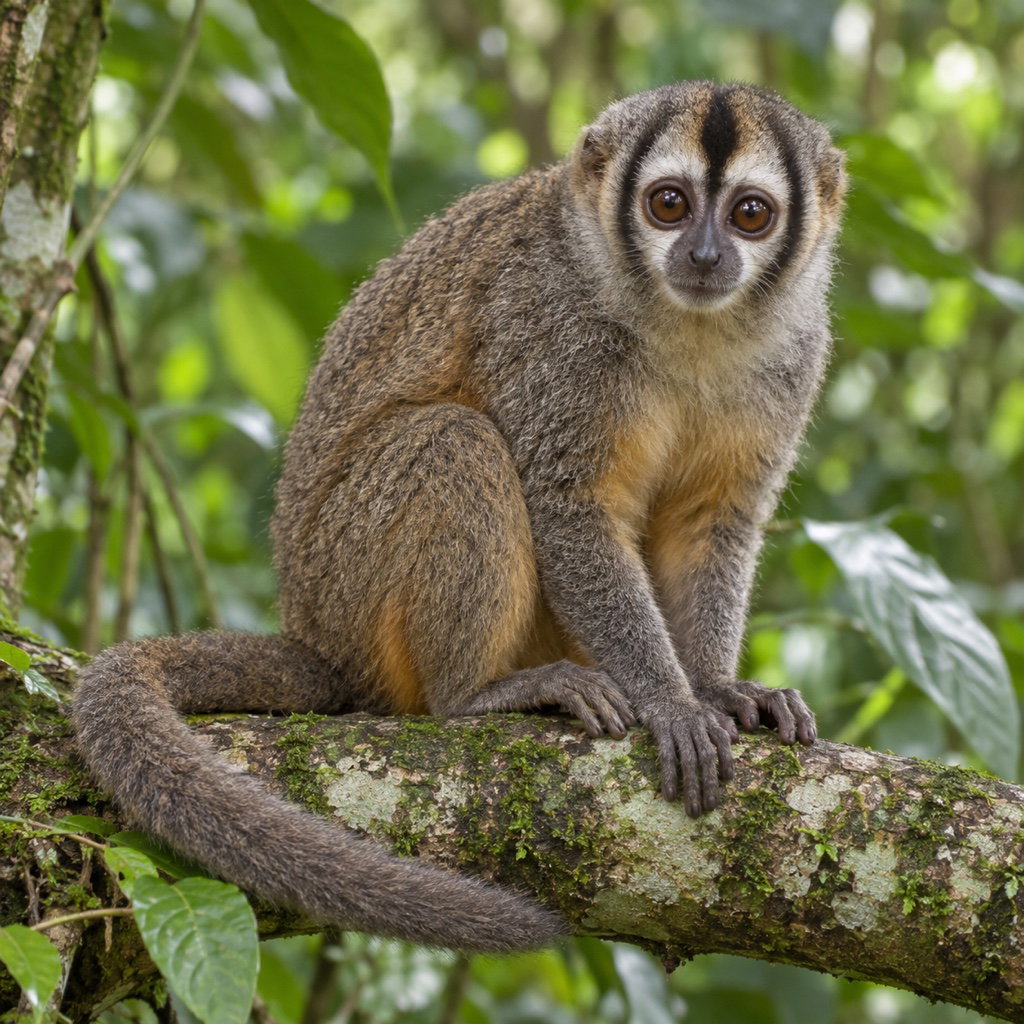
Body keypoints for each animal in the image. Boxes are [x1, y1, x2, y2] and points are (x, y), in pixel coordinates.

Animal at [72, 81, 846, 954]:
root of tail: (318, 636)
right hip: (351, 580)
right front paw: (672, 703)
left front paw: (718, 688)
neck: (686, 327)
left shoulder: (794, 356)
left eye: (750, 214)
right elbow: (566, 504)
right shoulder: (552, 327)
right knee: (455, 440)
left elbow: (719, 522)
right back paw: (476, 694)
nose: (707, 256)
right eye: (669, 204)